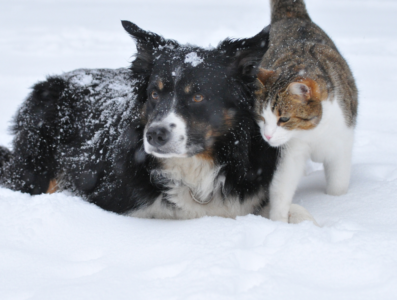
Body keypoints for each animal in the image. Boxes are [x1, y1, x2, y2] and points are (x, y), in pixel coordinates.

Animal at [0, 21, 316, 223]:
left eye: (198, 96)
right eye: (154, 93)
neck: (195, 169)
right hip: (36, 167)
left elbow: (296, 214)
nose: (154, 135)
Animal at [254, 0, 358, 221]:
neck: (314, 131)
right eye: (261, 117)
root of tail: (292, 17)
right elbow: (281, 185)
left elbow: (338, 183)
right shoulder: (291, 150)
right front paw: (277, 220)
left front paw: (338, 203)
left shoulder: (342, 142)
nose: (267, 136)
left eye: (284, 119)